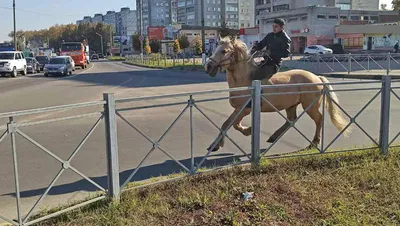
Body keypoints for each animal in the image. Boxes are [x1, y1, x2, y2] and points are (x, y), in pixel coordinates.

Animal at [203, 36, 350, 153]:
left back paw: (314, 142)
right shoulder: (240, 109)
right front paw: (216, 145)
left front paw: (247, 131)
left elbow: (230, 124)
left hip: (310, 106)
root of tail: (317, 77)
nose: (208, 67)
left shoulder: (245, 109)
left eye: (224, 51)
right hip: (291, 105)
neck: (243, 79)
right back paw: (274, 136)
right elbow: (228, 124)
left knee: (319, 119)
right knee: (291, 120)